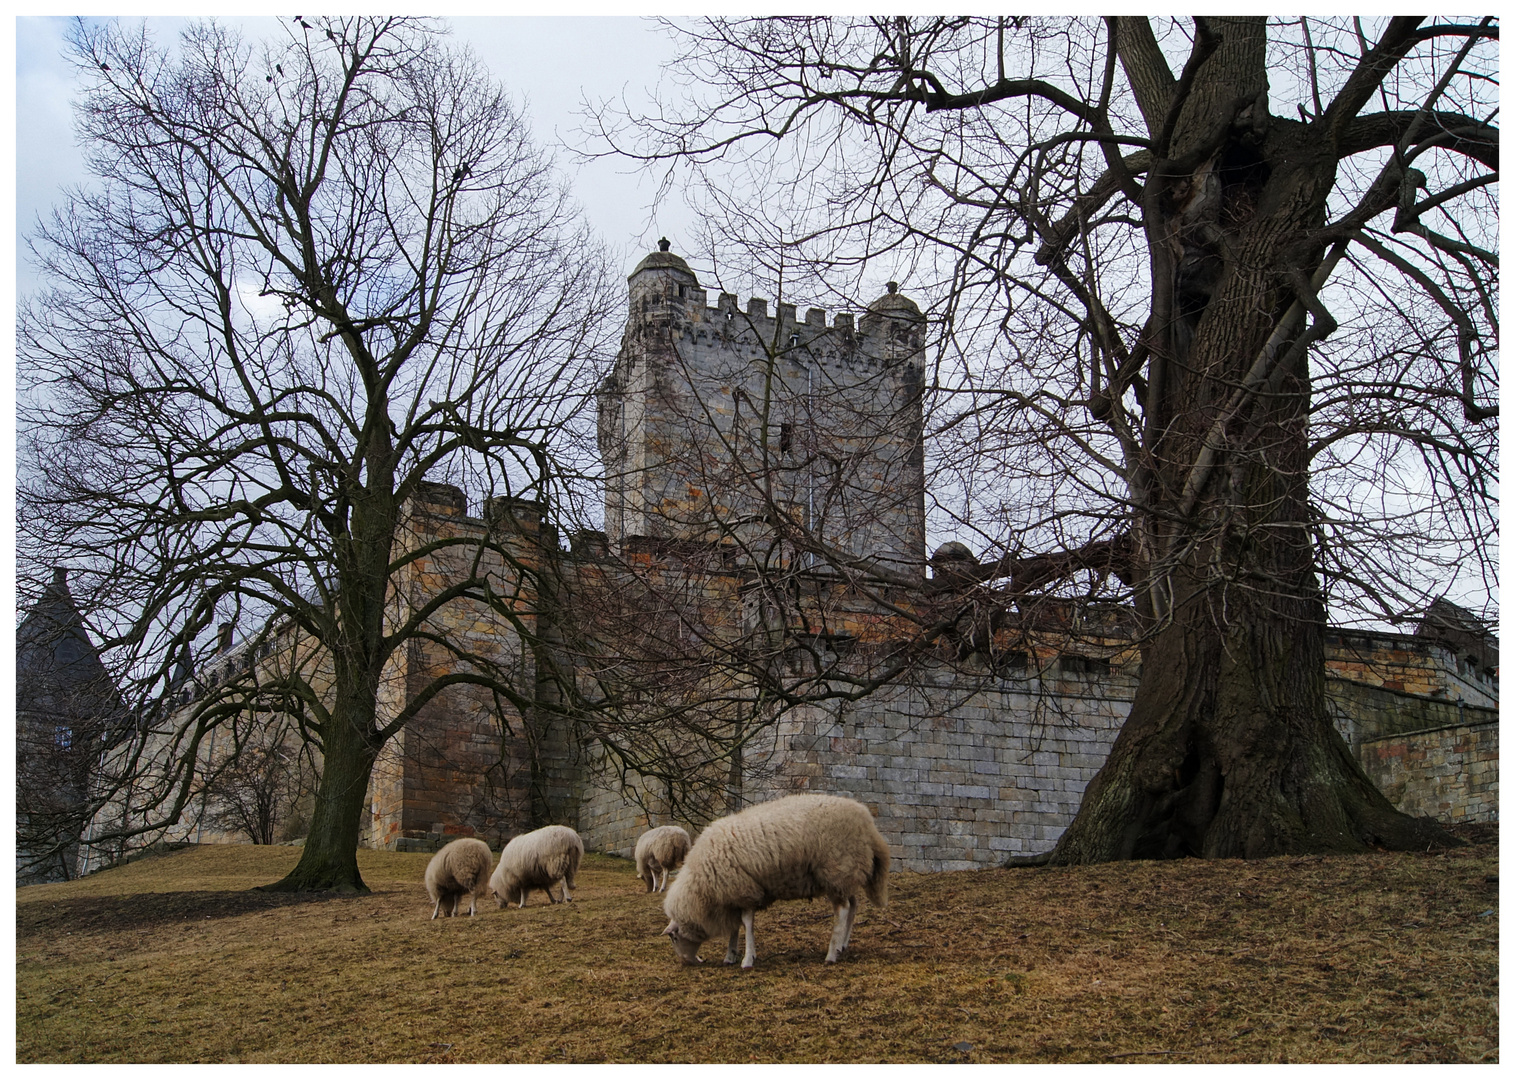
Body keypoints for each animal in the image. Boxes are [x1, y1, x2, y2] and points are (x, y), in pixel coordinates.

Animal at [660, 793, 884, 969]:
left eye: (673, 937)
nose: (687, 962)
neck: (700, 889)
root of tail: (866, 818)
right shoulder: (732, 896)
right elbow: (735, 927)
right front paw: (730, 955)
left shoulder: (744, 891)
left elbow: (746, 923)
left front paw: (748, 959)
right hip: (846, 874)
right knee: (853, 905)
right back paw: (842, 945)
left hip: (836, 869)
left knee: (842, 910)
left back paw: (831, 954)